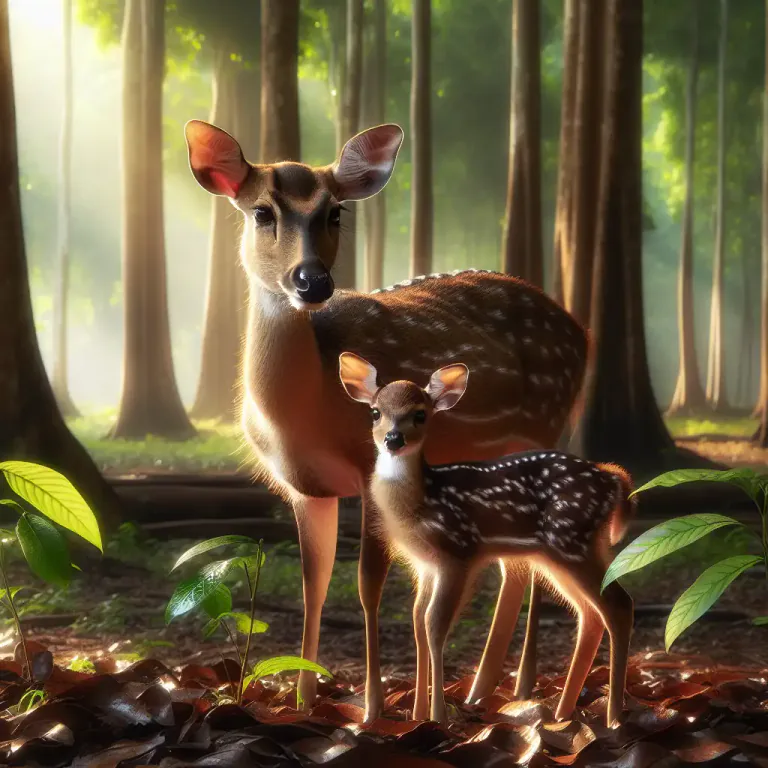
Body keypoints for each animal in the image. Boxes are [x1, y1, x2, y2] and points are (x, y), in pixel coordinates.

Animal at [183, 119, 590, 722]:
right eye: (261, 212)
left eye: (335, 212)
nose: (312, 281)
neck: (303, 413)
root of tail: (584, 335)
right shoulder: (305, 489)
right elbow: (314, 585)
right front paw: (304, 699)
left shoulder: (368, 469)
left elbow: (367, 587)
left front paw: (373, 709)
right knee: (513, 565)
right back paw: (485, 691)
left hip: (543, 426)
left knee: (525, 564)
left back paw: (511, 693)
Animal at [339, 352, 635, 727]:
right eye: (376, 412)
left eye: (420, 414)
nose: (394, 438)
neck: (421, 501)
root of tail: (614, 480)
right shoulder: (425, 565)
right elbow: (418, 621)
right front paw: (417, 714)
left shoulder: (458, 551)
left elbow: (435, 624)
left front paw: (438, 718)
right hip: (564, 553)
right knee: (591, 614)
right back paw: (561, 714)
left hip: (571, 542)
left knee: (618, 604)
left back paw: (613, 718)